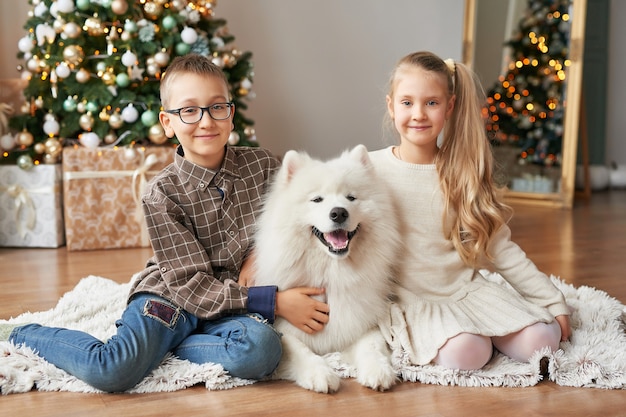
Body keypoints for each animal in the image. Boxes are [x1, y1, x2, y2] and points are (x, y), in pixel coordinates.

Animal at [252, 145, 400, 392]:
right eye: (317, 200)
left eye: (351, 197)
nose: (338, 212)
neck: (331, 274)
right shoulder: (283, 327)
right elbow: (298, 350)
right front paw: (320, 373)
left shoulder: (364, 322)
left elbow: (372, 346)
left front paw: (379, 371)